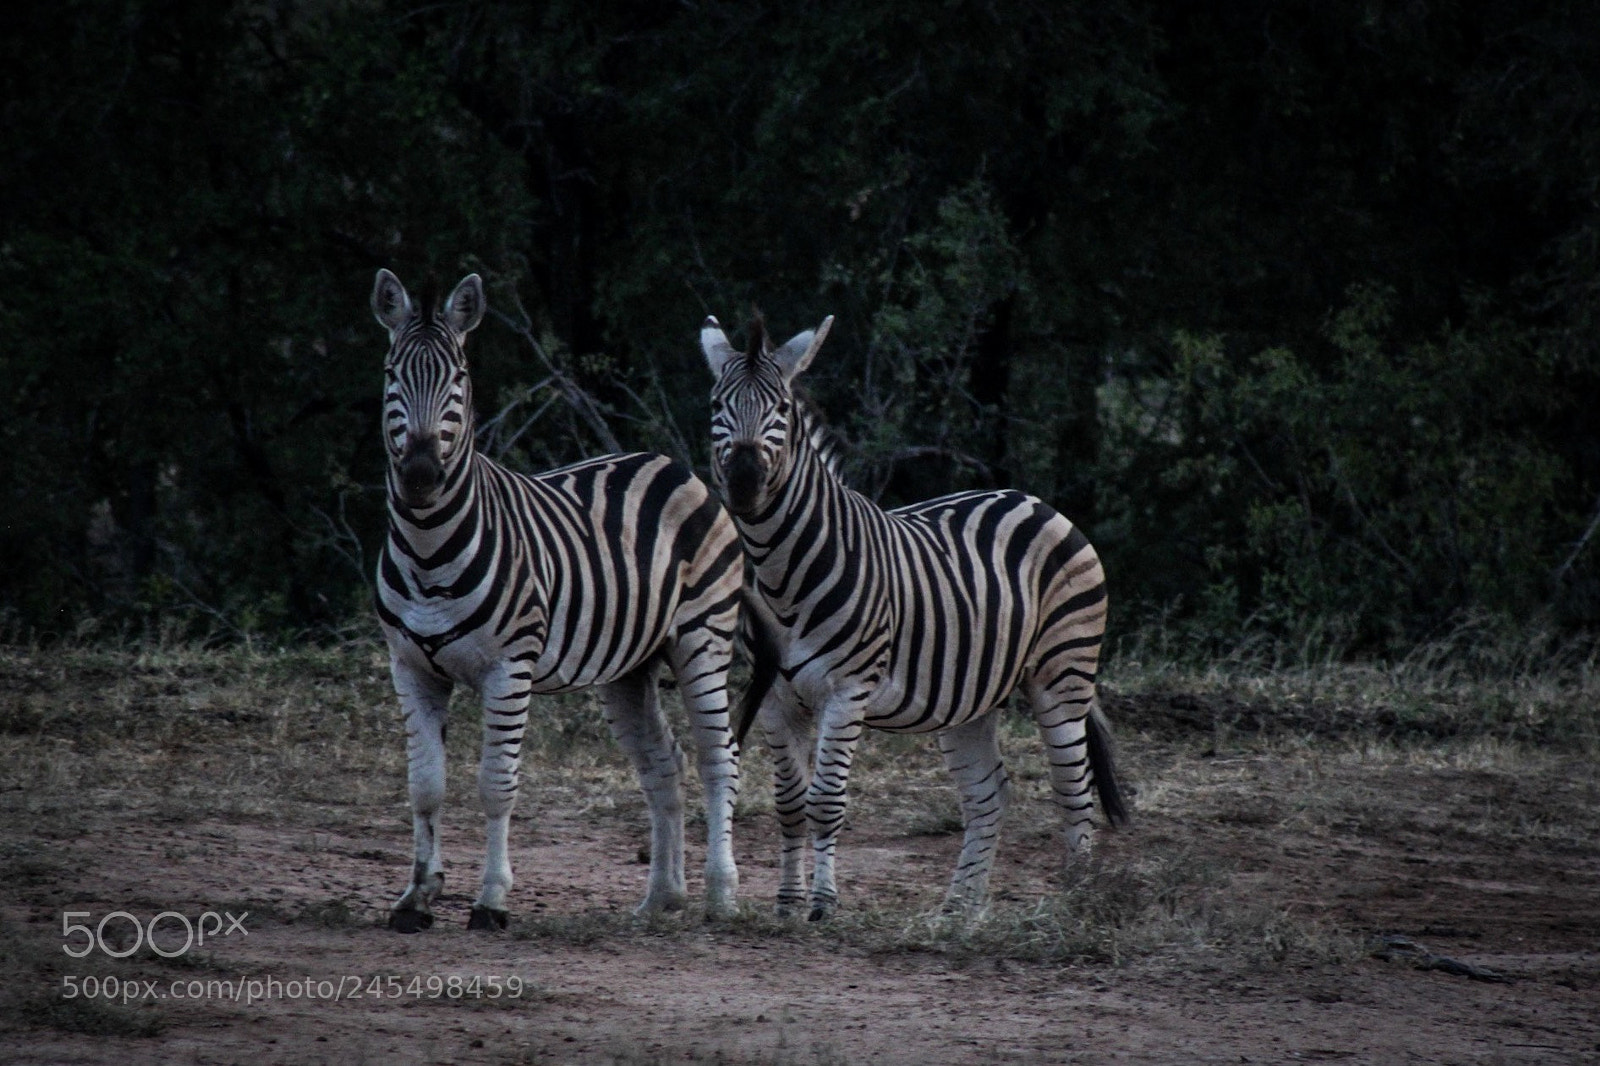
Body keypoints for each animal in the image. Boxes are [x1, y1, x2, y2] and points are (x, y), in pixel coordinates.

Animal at [370, 268, 745, 931]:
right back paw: (661, 897)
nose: (419, 475)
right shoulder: (410, 667)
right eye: (392, 372)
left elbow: (496, 784)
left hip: (703, 639)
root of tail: (671, 464)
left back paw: (721, 895)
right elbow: (425, 786)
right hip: (629, 669)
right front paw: (417, 895)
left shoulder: (507, 667)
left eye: (459, 379)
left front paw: (491, 899)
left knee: (716, 757)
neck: (428, 549)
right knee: (665, 764)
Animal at [701, 312, 1128, 920]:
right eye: (718, 404)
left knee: (1074, 789)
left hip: (1063, 673)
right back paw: (959, 912)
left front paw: (822, 905)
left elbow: (825, 801)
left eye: (781, 407)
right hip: (972, 697)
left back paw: (1075, 899)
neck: (784, 573)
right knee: (989, 792)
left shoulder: (847, 691)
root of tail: (1033, 500)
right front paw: (786, 902)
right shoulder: (777, 700)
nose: (742, 481)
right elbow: (789, 803)